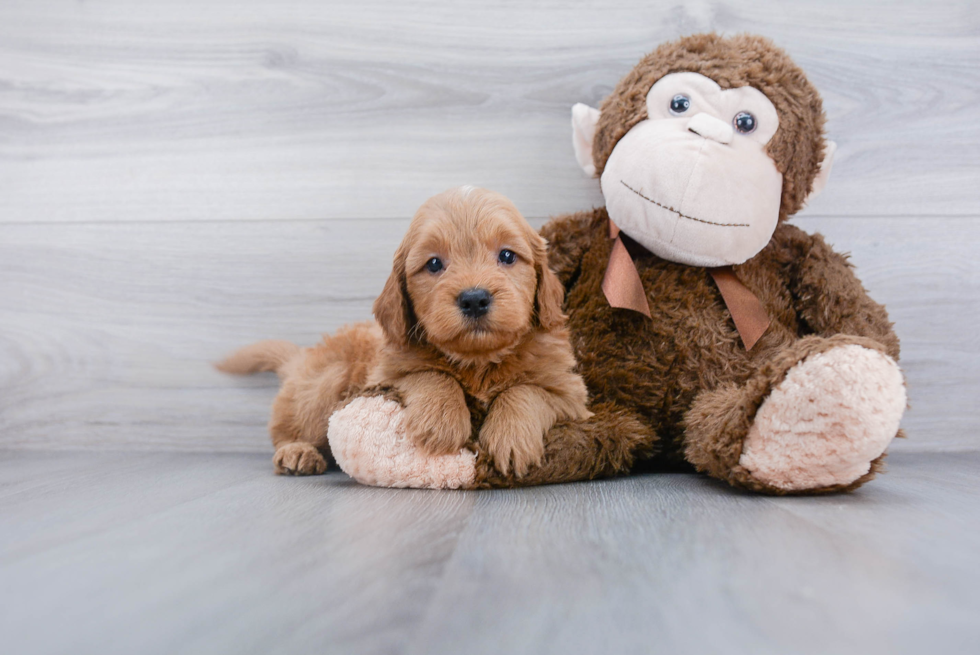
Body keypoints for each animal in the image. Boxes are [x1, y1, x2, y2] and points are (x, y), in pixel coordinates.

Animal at [218, 187, 588, 480]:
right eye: (434, 264)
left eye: (507, 255)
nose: (474, 298)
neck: (478, 361)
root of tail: (302, 357)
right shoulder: (384, 376)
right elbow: (431, 374)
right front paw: (441, 421)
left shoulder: (570, 393)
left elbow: (527, 391)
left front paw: (510, 438)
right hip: (322, 384)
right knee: (286, 429)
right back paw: (297, 452)